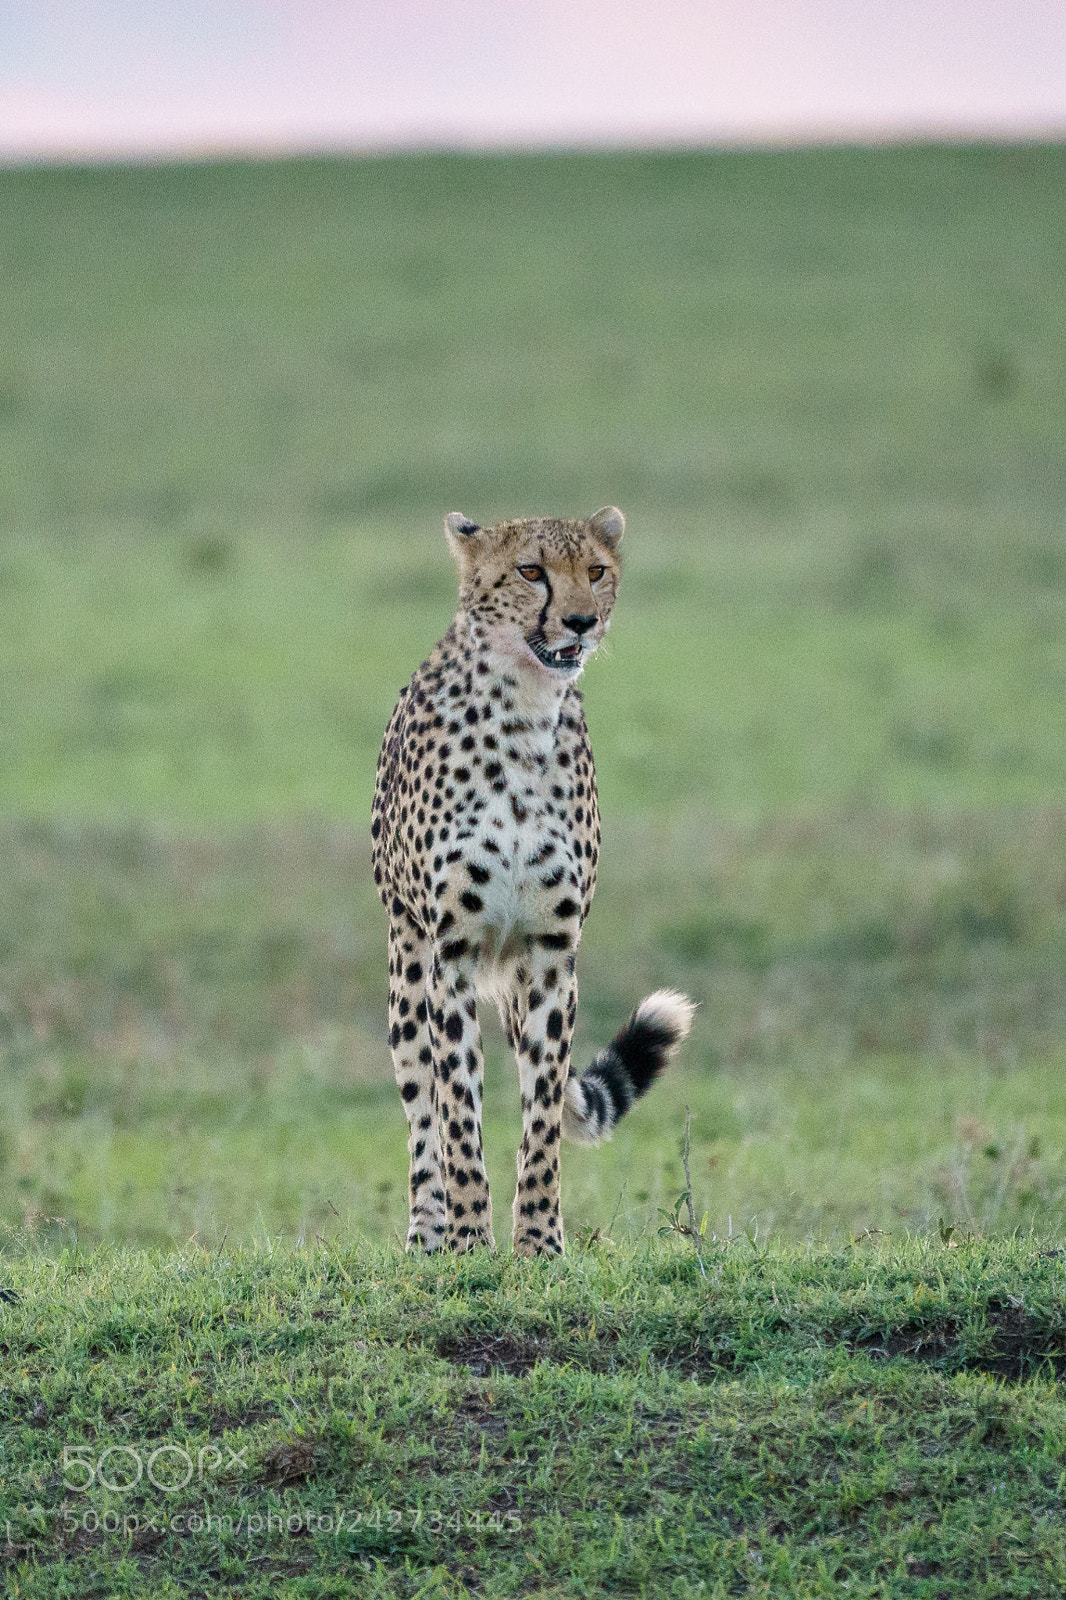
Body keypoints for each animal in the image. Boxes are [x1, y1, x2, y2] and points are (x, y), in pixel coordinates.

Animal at [371, 505, 695, 1256]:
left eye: (596, 571)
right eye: (530, 571)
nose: (581, 621)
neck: (524, 713)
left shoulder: (551, 953)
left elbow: (542, 1112)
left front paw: (541, 1242)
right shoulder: (454, 953)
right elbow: (458, 1111)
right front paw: (469, 1241)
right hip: (406, 969)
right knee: (421, 1111)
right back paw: (427, 1234)